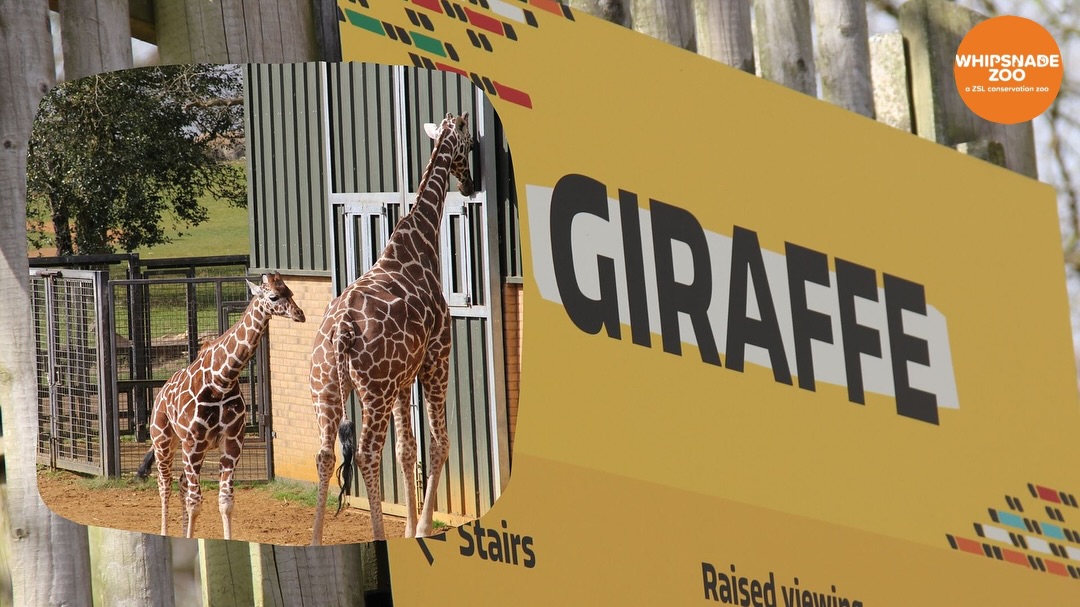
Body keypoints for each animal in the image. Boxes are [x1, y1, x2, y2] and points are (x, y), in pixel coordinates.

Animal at [136, 272, 305, 540]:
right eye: (273, 296)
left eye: (291, 292)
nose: (300, 314)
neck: (222, 380)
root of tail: (160, 394)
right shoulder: (193, 443)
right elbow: (196, 502)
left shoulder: (232, 442)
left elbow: (225, 502)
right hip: (163, 441)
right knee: (165, 485)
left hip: (193, 448)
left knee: (182, 483)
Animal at [309, 112, 475, 545]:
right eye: (468, 142)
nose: (469, 184)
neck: (419, 242)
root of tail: (340, 332)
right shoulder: (436, 357)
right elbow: (438, 444)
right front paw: (422, 528)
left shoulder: (403, 378)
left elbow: (406, 450)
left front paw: (411, 528)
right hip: (375, 391)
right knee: (367, 452)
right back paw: (377, 535)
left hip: (325, 389)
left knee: (325, 454)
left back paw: (315, 540)